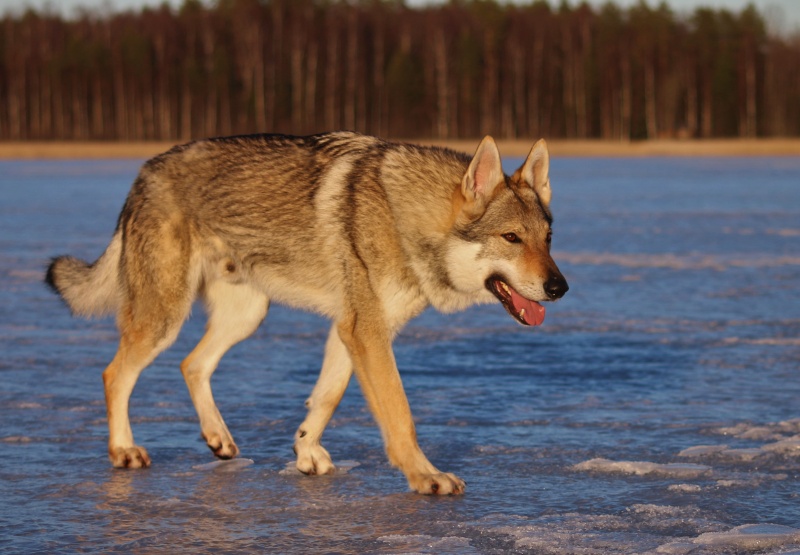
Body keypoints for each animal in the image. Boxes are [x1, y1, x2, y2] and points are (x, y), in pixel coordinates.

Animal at [45, 134, 568, 496]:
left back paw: (218, 439)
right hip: (164, 317)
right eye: (511, 238)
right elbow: (400, 416)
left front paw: (305, 453)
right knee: (115, 373)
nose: (559, 287)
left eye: (548, 239)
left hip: (246, 316)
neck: (405, 217)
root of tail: (144, 170)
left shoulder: (353, 328)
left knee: (191, 364)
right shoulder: (366, 331)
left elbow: (327, 397)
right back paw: (123, 451)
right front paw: (426, 476)